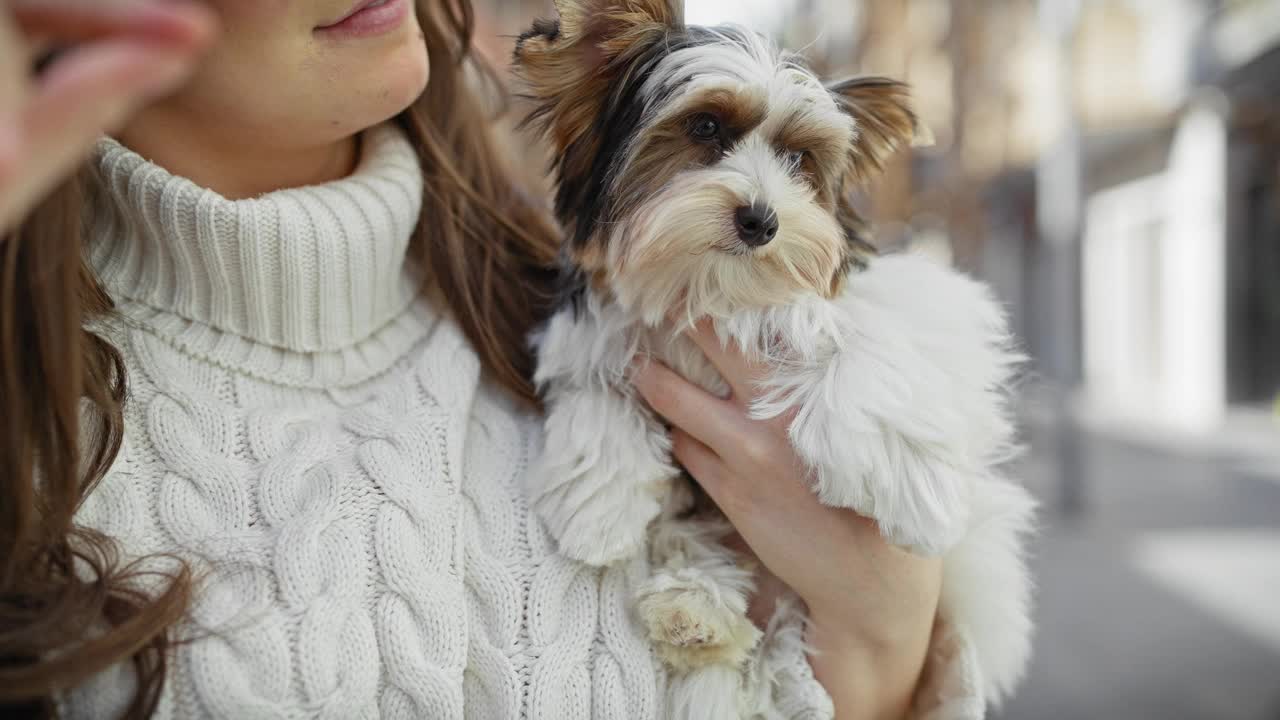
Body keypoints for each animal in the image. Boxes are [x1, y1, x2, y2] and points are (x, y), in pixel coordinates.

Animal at [514, 2, 1034, 712]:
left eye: (798, 159)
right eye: (705, 127)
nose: (761, 220)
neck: (712, 291)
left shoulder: (903, 299)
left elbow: (856, 333)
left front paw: (910, 488)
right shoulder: (598, 325)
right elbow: (598, 379)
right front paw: (598, 498)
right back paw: (695, 611)